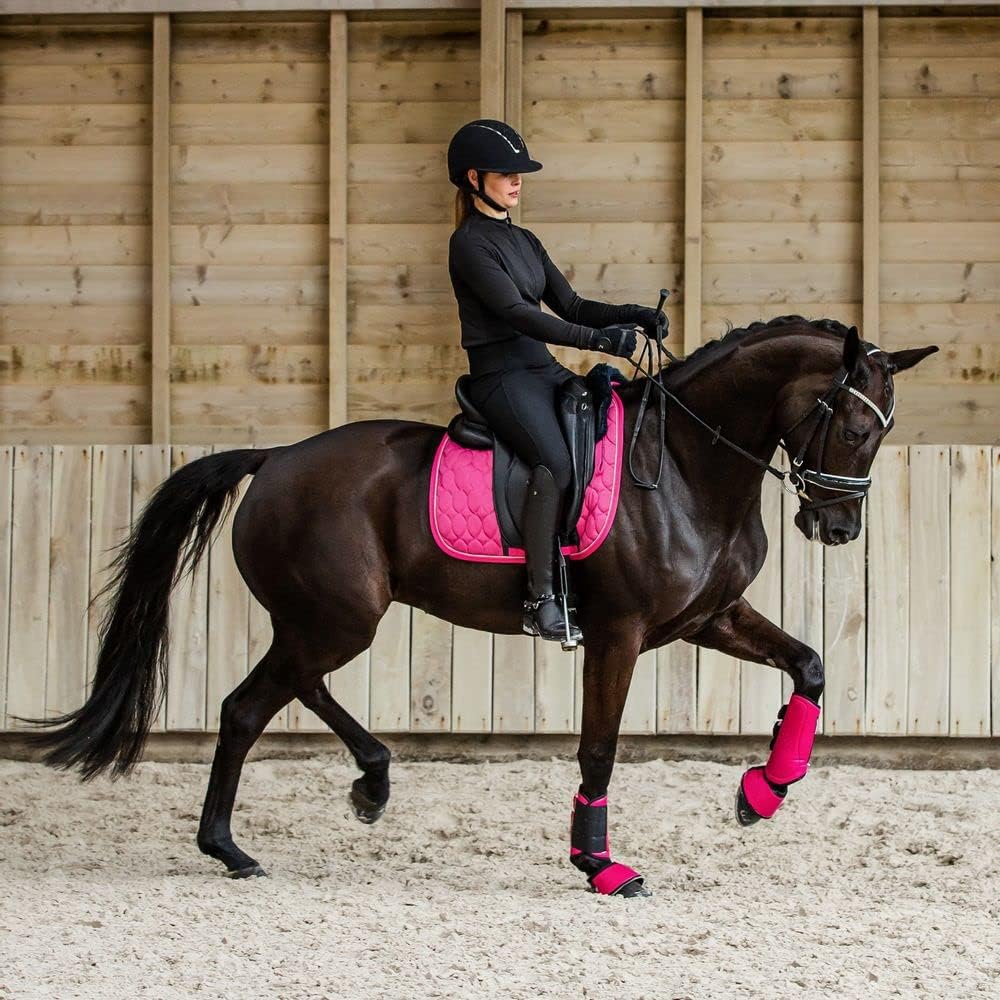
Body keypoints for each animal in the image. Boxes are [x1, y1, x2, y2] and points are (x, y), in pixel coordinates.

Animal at [23, 315, 936, 897]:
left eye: (884, 434)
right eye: (857, 429)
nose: (838, 527)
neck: (683, 463)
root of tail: (276, 457)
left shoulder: (707, 620)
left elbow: (810, 666)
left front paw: (761, 793)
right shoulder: (619, 634)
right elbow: (599, 750)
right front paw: (601, 867)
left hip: (324, 620)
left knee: (294, 689)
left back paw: (370, 783)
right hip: (338, 619)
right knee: (247, 708)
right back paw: (229, 847)